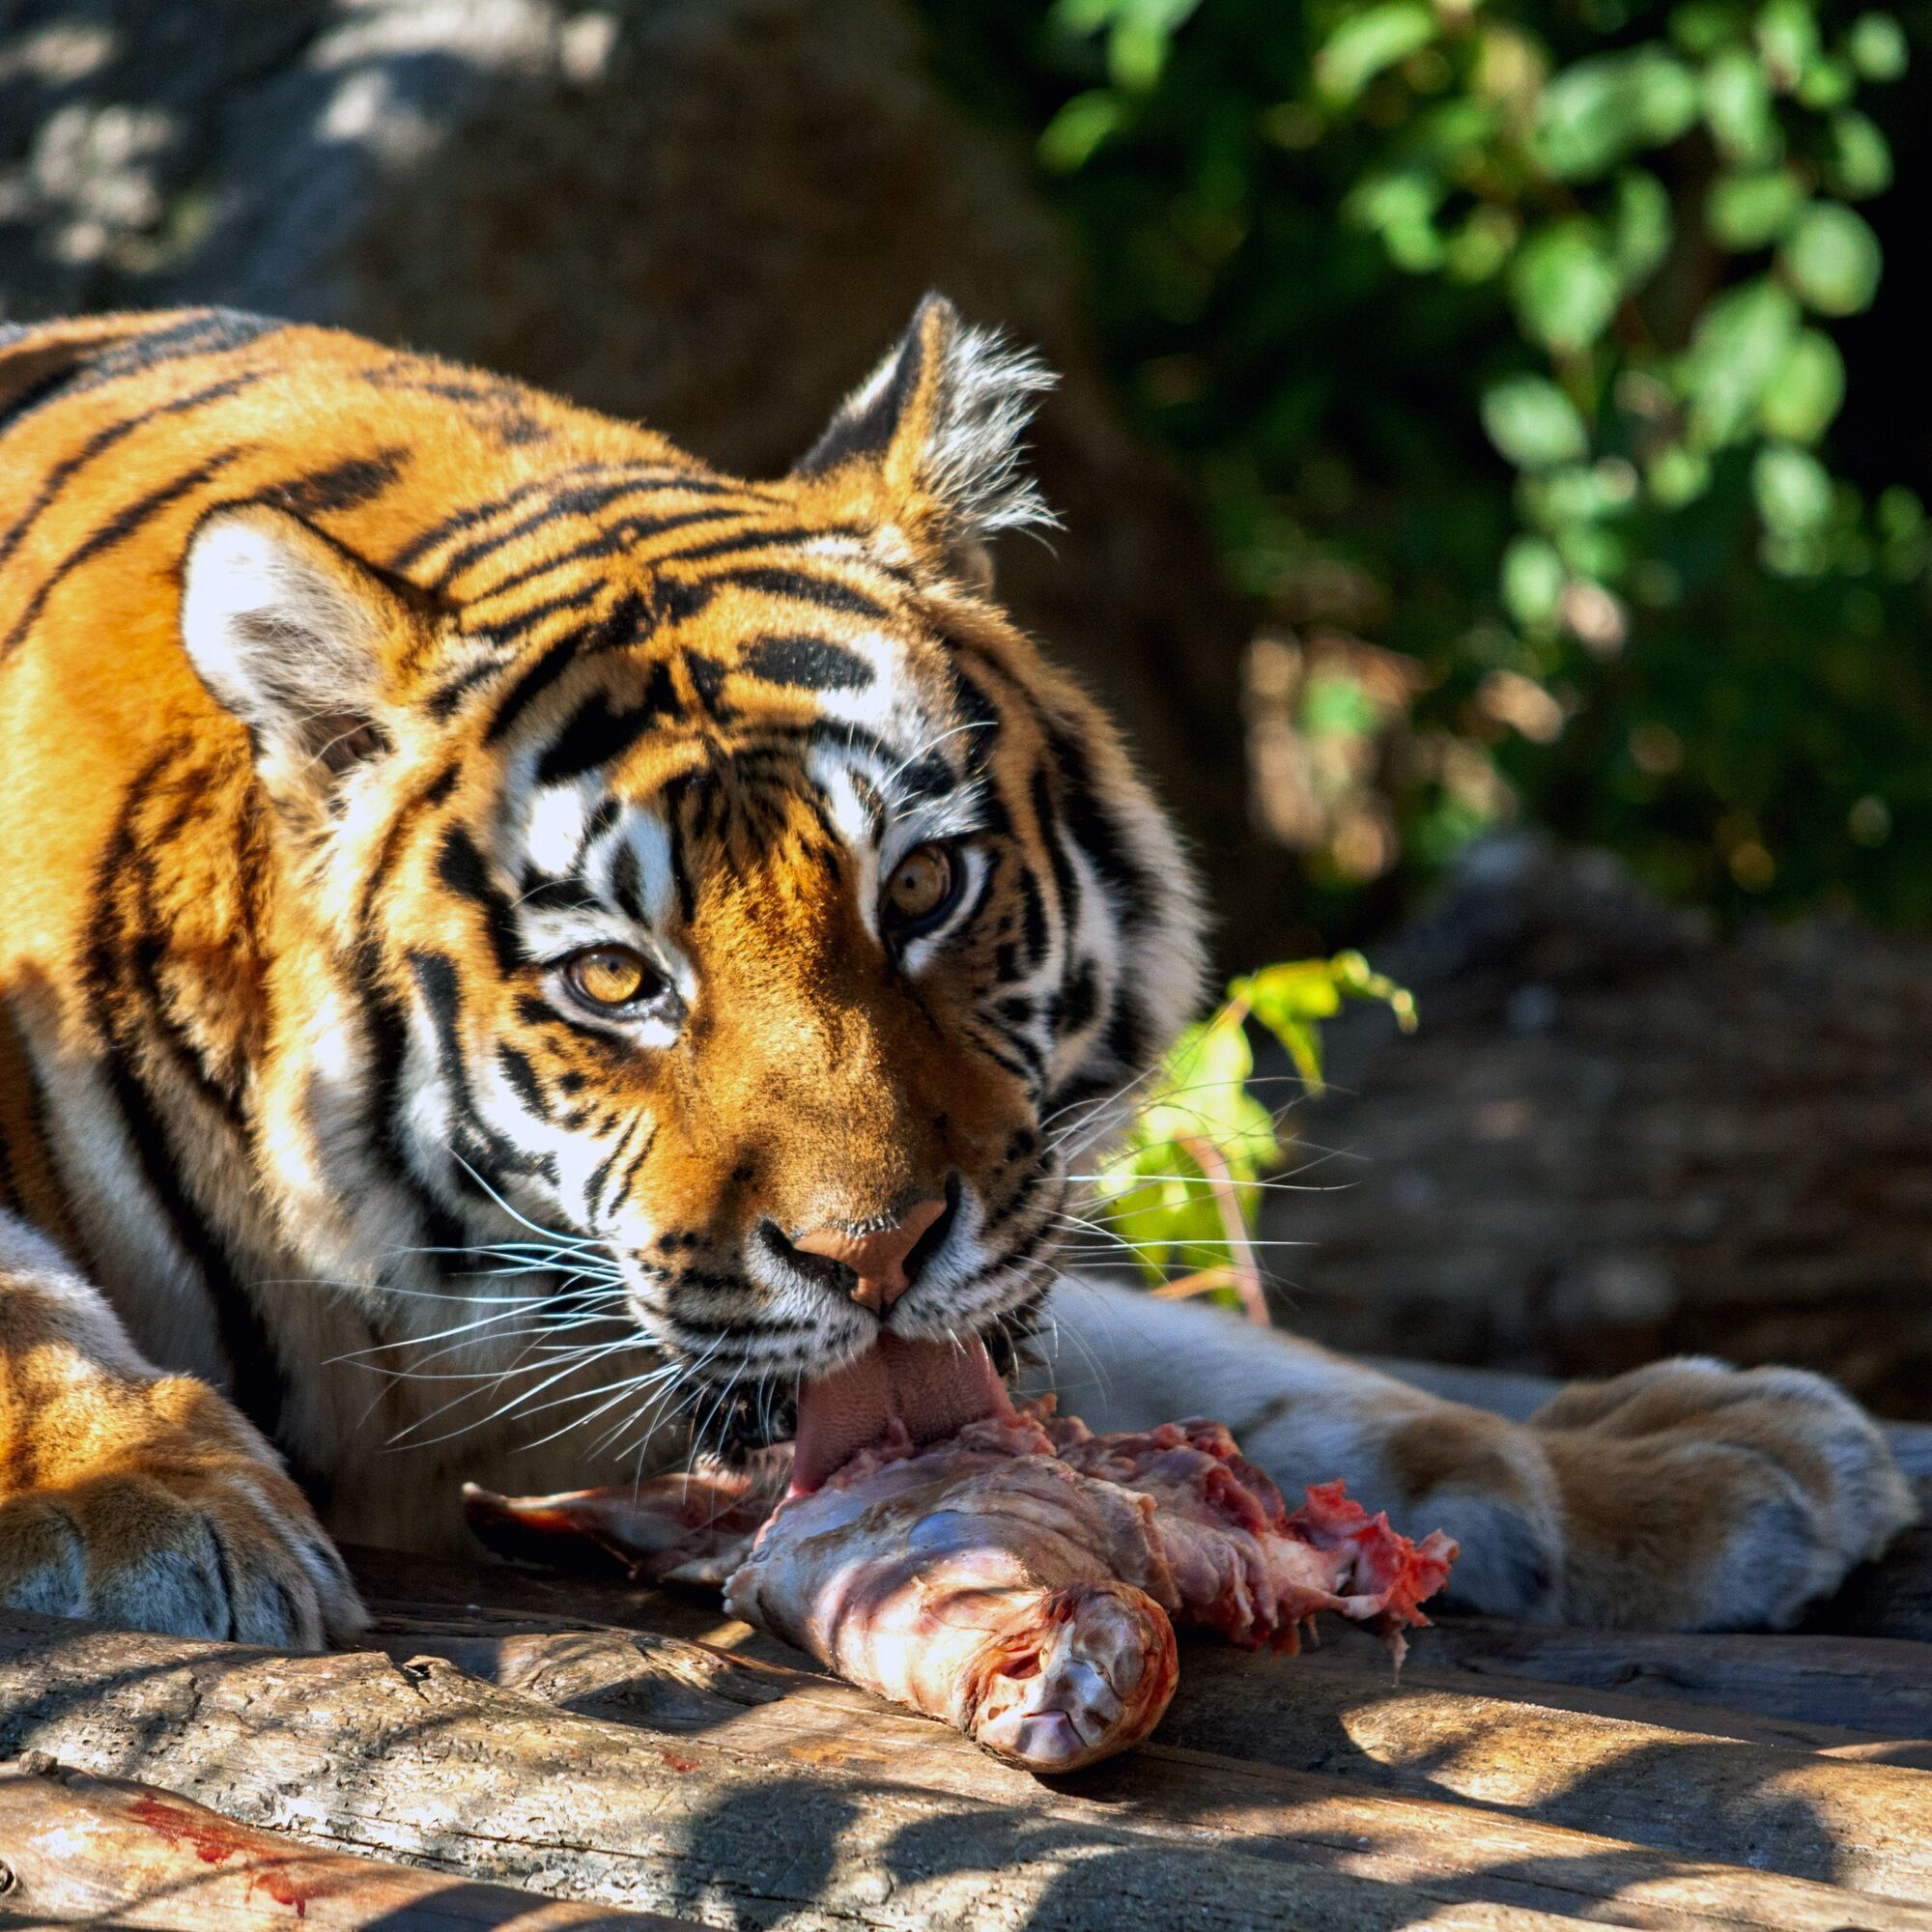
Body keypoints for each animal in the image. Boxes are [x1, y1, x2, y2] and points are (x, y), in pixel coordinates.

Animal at [0, 301, 1909, 1646]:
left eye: (920, 884)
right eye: (615, 982)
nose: (874, 1257)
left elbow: (1258, 1374)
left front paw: (1685, 1466)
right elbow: (29, 1307)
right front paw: (152, 1504)